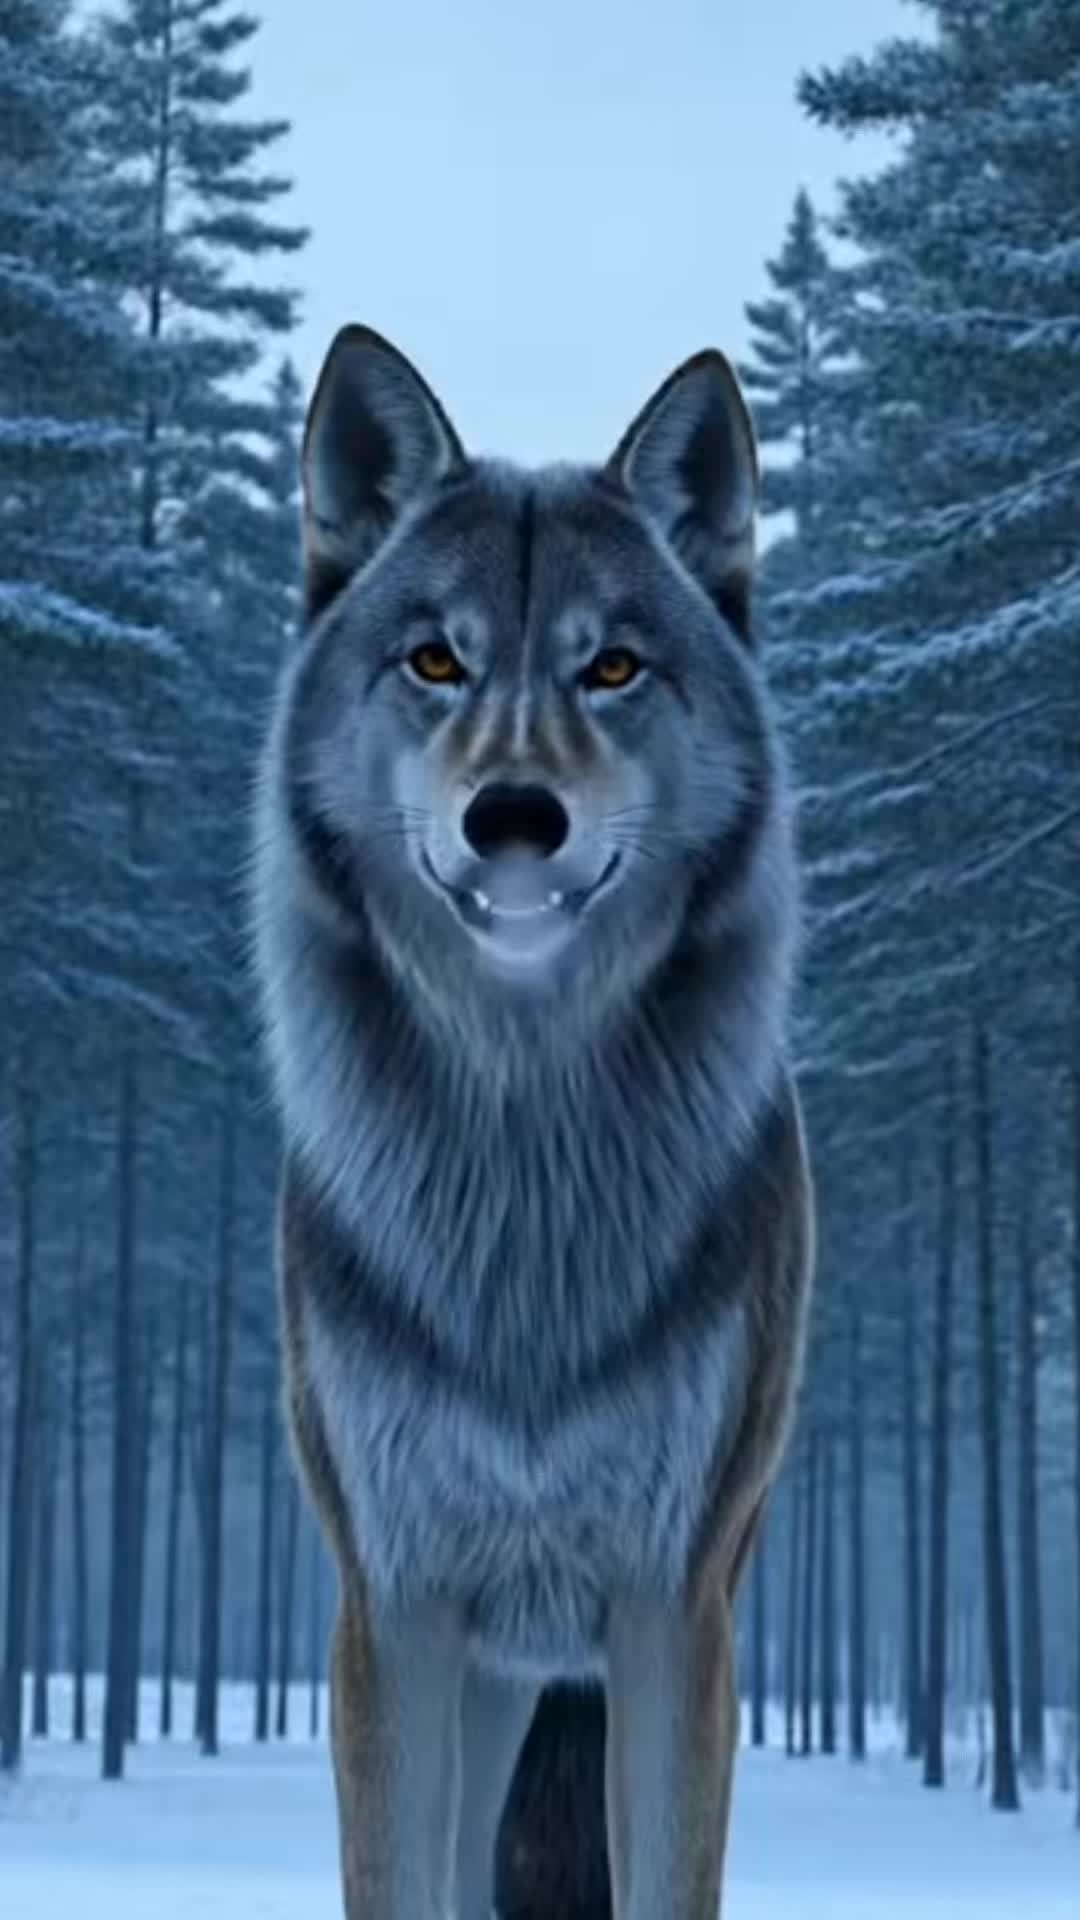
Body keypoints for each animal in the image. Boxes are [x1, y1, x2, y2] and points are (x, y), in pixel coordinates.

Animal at [253, 324, 813, 1920]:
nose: (513, 816)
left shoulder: (673, 1612)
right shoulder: (394, 1609)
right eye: (436, 659)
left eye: (611, 666)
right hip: (489, 1675)